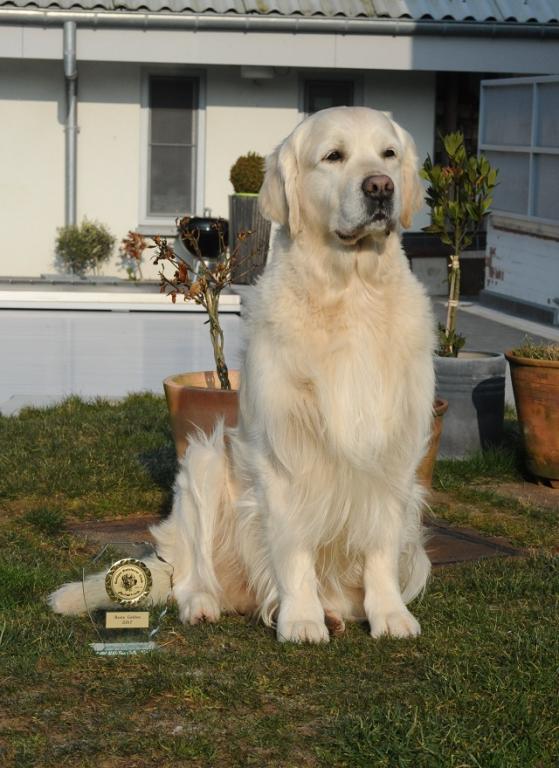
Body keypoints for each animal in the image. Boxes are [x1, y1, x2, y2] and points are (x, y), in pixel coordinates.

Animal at [51, 105, 438, 640]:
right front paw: (301, 619)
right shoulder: (283, 451)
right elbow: (293, 548)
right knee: (188, 573)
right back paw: (205, 604)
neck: (351, 293)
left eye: (389, 154)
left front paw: (390, 614)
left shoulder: (394, 451)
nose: (381, 187)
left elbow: (379, 543)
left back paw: (336, 609)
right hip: (203, 462)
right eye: (333, 156)